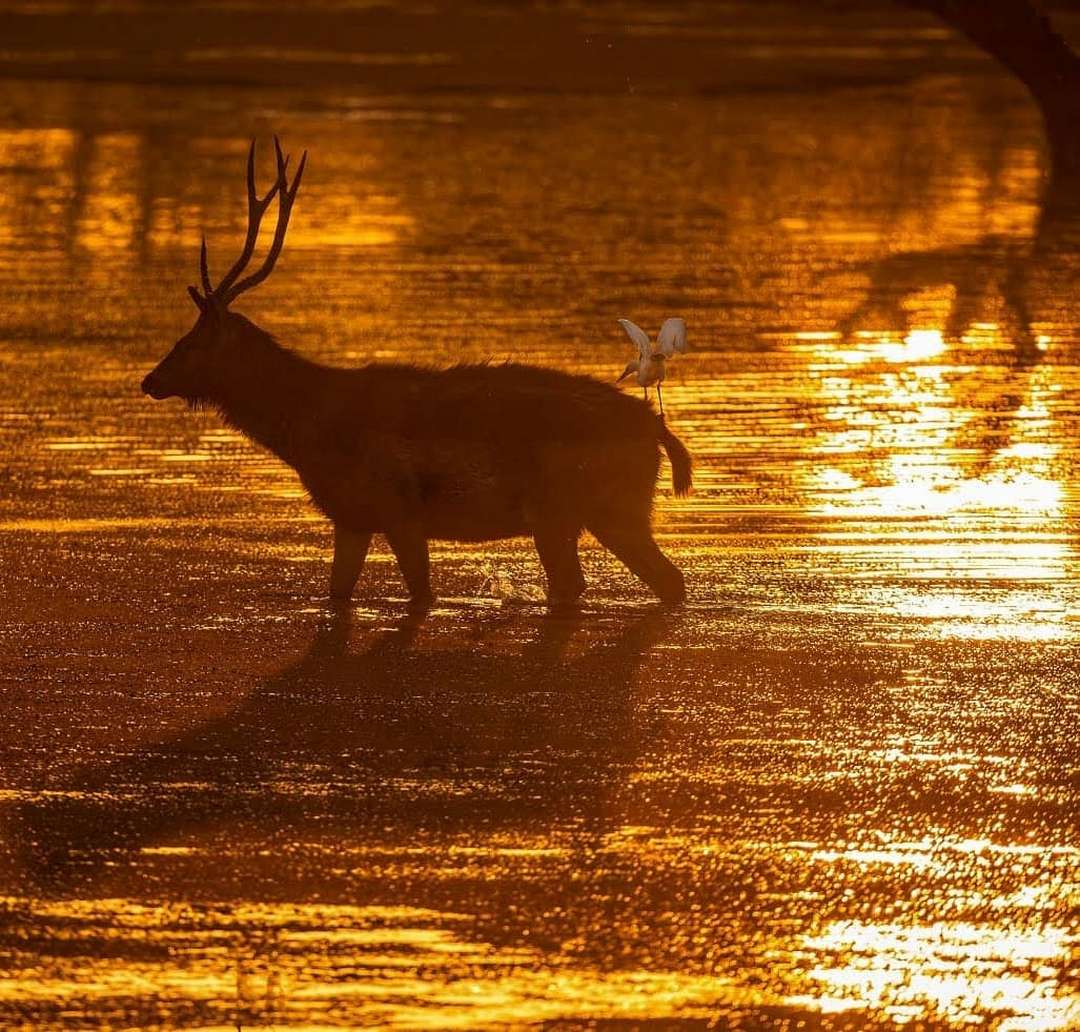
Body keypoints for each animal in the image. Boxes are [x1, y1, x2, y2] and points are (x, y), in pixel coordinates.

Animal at [143, 141, 691, 617]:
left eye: (190, 340)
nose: (150, 380)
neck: (310, 430)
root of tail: (655, 429)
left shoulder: (400, 510)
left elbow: (422, 594)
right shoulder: (352, 517)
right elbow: (338, 594)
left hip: (578, 509)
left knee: (622, 580)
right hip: (601, 512)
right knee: (656, 581)